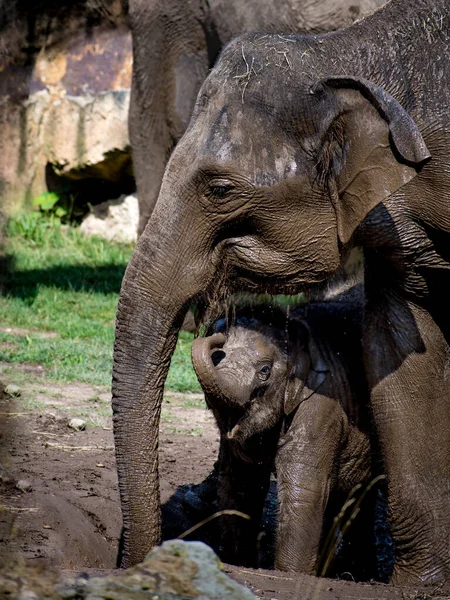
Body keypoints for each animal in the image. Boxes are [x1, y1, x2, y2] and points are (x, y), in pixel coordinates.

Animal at [192, 290, 378, 576]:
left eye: (265, 370)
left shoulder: (320, 405)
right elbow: (239, 483)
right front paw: (238, 563)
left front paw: (290, 574)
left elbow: (304, 490)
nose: (217, 336)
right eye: (217, 357)